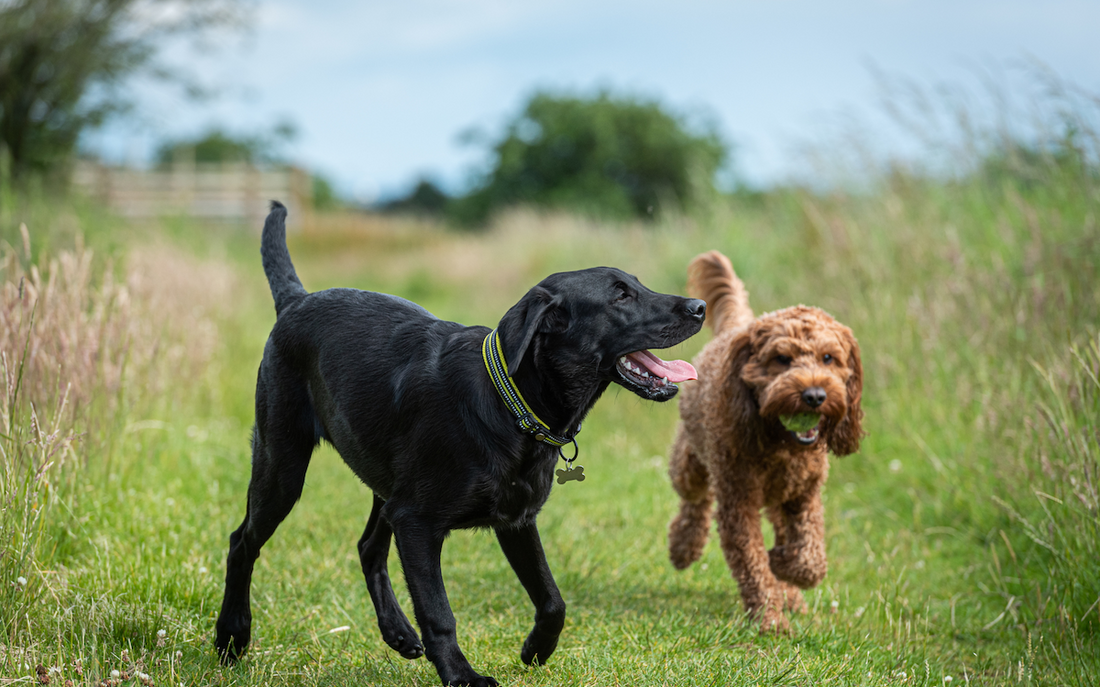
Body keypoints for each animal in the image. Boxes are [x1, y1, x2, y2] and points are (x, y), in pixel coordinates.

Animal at [216, 201, 704, 681]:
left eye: (637, 285)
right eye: (620, 296)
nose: (699, 305)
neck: (510, 404)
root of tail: (295, 300)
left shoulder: (516, 520)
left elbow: (553, 599)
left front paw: (535, 650)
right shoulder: (417, 522)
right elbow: (439, 612)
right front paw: (461, 675)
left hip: (384, 485)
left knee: (368, 547)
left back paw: (398, 633)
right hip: (282, 465)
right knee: (242, 542)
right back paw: (231, 637)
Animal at [664, 249, 862, 628]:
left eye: (828, 358)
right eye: (781, 359)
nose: (814, 395)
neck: (780, 444)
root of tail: (737, 327)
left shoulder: (804, 496)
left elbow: (810, 560)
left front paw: (784, 567)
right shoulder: (737, 503)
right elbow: (752, 561)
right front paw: (770, 617)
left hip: (778, 498)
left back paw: (792, 595)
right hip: (690, 463)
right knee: (695, 499)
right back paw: (684, 547)